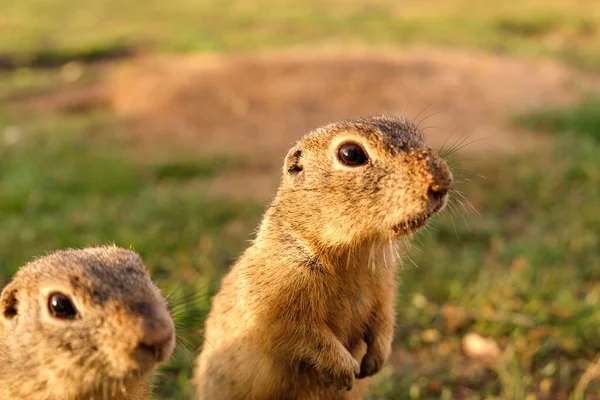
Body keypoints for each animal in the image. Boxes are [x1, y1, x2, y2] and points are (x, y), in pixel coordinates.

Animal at [195, 115, 452, 400]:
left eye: (417, 135)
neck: (354, 254)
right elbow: (302, 334)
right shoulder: (279, 298)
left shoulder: (384, 284)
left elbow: (384, 318)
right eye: (350, 154)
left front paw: (375, 361)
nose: (444, 181)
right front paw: (347, 370)